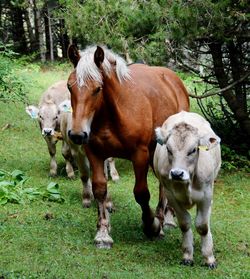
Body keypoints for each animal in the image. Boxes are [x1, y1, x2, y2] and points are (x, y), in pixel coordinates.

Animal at [67, 44, 189, 248]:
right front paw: (103, 233)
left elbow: (141, 193)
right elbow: (99, 189)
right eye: (69, 86)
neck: (112, 115)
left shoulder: (139, 154)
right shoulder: (95, 153)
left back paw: (167, 219)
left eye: (97, 89)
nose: (77, 134)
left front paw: (152, 226)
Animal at [153, 111, 222, 270]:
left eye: (193, 150)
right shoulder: (171, 195)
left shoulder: (206, 195)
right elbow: (185, 224)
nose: (177, 173)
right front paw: (187, 256)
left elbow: (203, 226)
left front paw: (209, 258)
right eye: (168, 149)